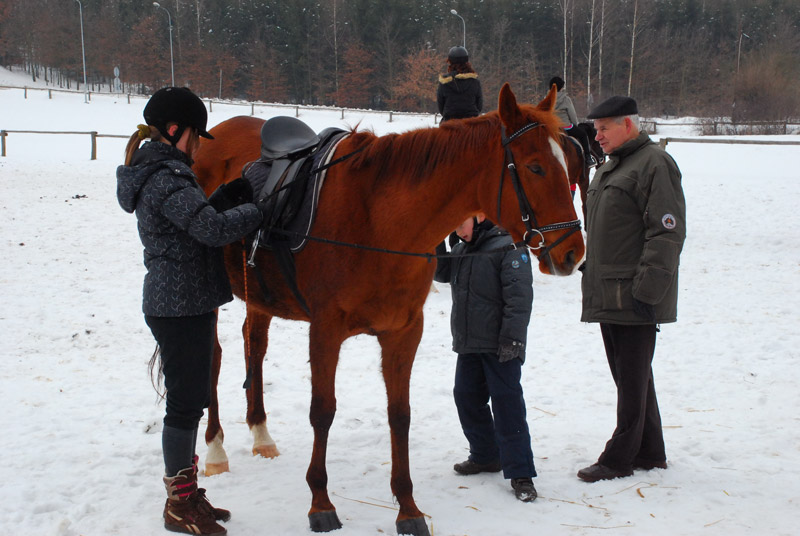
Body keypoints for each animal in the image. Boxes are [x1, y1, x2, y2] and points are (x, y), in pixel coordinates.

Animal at [191, 84, 584, 536]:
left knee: (253, 345)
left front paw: (408, 507)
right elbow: (322, 412)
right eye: (535, 167)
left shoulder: (403, 332)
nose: (573, 253)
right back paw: (216, 449)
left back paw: (261, 434)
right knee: (214, 359)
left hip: (259, 295)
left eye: (567, 166)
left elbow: (400, 415)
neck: (376, 219)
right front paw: (321, 502)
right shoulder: (325, 331)